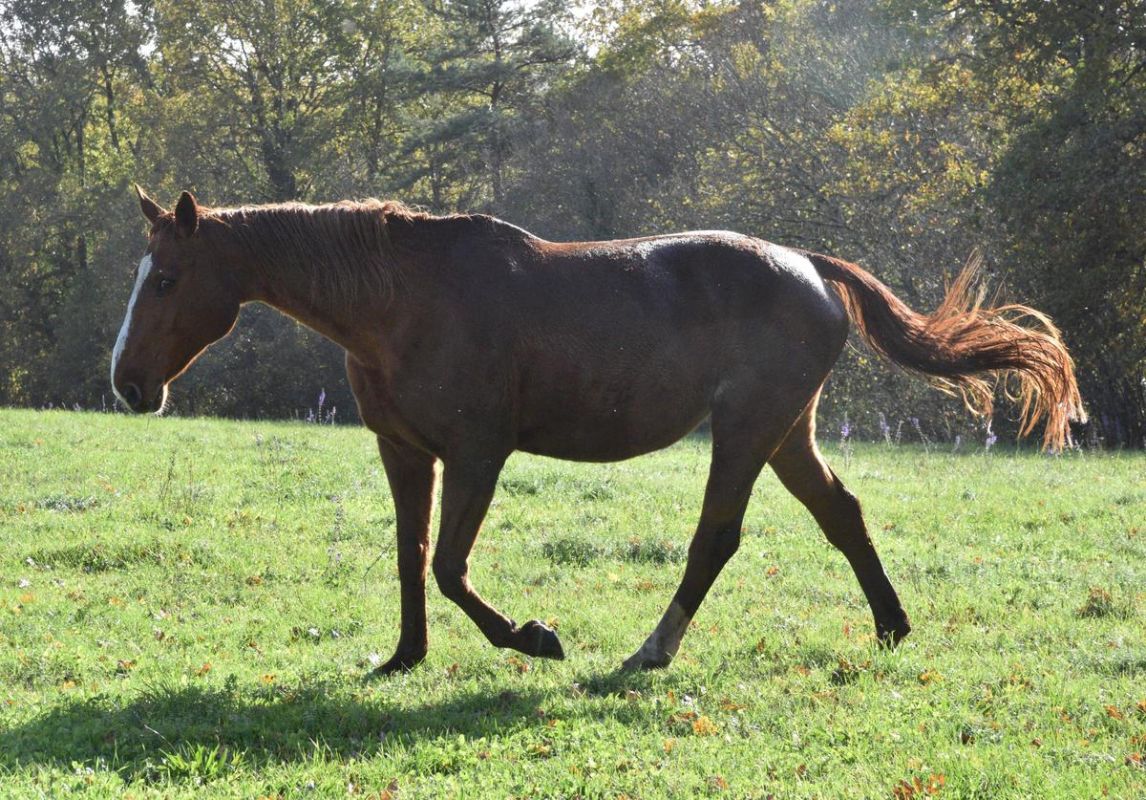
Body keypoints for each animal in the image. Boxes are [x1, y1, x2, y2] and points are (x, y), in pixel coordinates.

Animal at [111, 188, 1085, 673]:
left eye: (165, 279)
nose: (126, 383)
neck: (402, 301)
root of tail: (809, 265)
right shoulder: (405, 452)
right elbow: (410, 557)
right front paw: (404, 657)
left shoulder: (477, 454)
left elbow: (451, 566)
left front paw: (533, 637)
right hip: (785, 434)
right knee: (841, 515)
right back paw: (889, 628)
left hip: (747, 430)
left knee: (716, 539)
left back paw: (651, 651)